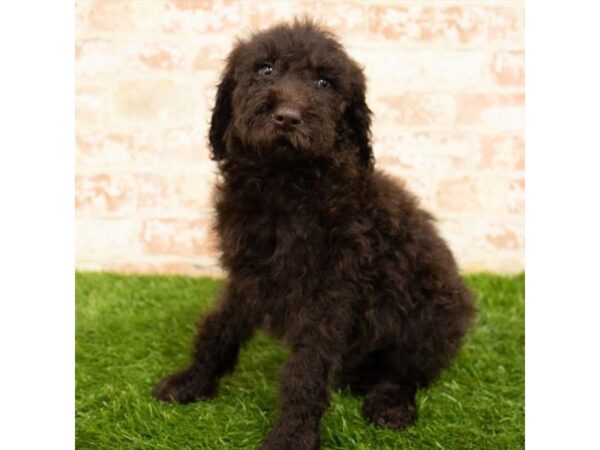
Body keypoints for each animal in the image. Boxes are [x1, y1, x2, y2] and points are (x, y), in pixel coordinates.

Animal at [155, 20, 478, 450]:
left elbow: (307, 364)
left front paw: (292, 434)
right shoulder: (248, 272)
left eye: (324, 82)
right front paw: (192, 380)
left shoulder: (330, 288)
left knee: (407, 369)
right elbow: (220, 326)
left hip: (434, 312)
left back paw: (390, 404)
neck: (284, 180)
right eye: (265, 69)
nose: (287, 117)